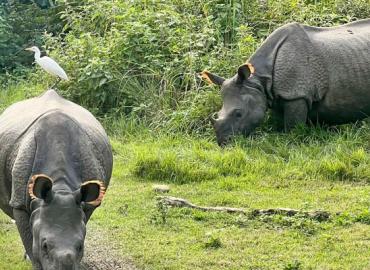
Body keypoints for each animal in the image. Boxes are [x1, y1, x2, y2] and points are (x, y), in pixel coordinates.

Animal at [0, 90, 112, 270]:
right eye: (45, 245)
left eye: (80, 246)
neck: (61, 186)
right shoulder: (19, 204)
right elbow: (30, 242)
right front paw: (33, 261)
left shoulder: (86, 205)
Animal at [202, 19, 370, 146]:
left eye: (238, 114)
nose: (224, 143)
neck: (257, 81)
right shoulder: (274, 95)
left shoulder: (296, 94)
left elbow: (292, 128)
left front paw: (291, 141)